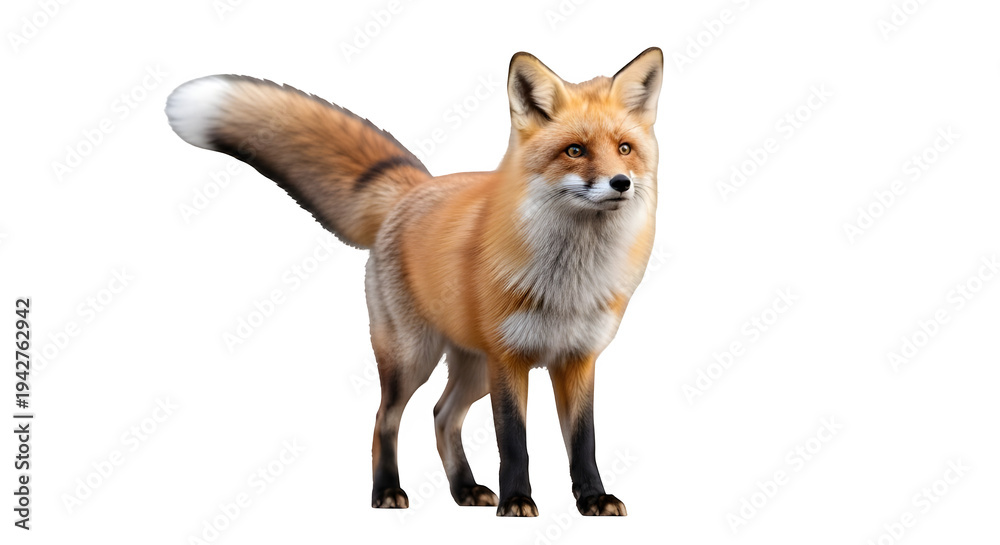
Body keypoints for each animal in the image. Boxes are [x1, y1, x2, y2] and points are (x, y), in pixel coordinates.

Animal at [165, 47, 663, 517]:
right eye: (575, 151)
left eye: (624, 148)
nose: (621, 183)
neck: (569, 282)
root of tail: (413, 189)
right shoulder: (508, 360)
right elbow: (513, 443)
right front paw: (517, 501)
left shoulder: (578, 359)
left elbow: (583, 443)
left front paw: (593, 500)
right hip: (413, 359)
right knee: (385, 419)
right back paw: (387, 491)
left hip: (472, 367)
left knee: (443, 415)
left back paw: (464, 489)